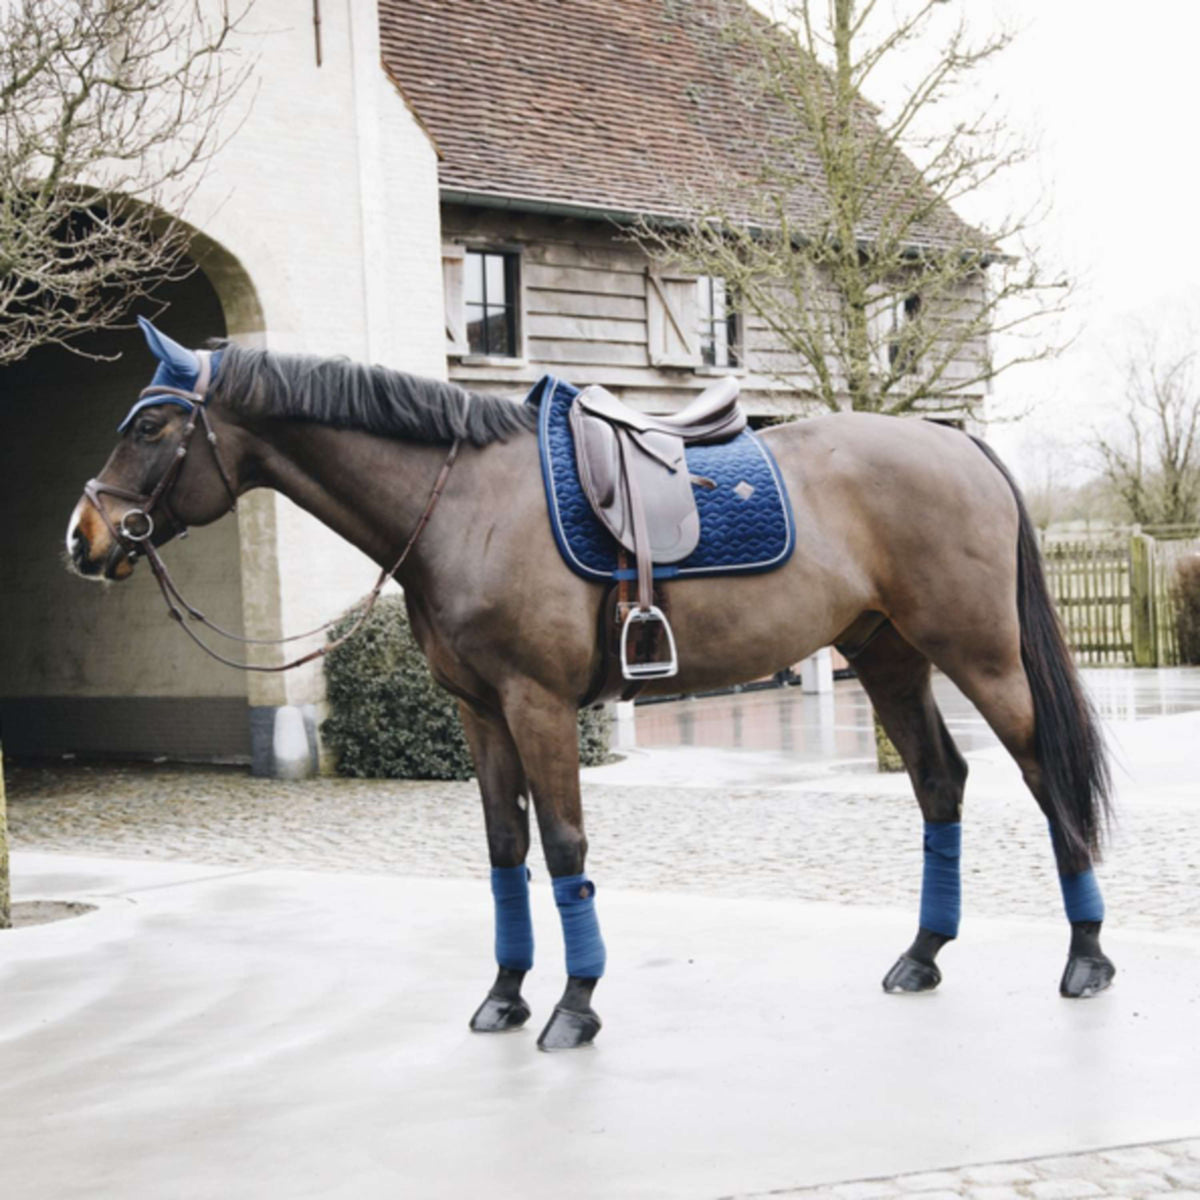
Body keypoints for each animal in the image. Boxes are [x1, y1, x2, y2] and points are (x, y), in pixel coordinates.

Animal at [65, 316, 1113, 1051]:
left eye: (152, 425)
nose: (83, 539)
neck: (465, 506)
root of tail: (956, 444)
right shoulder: (479, 712)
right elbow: (504, 851)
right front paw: (504, 995)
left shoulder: (538, 705)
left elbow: (565, 846)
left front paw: (574, 1005)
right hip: (890, 658)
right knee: (941, 782)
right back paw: (923, 956)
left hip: (983, 657)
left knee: (1043, 777)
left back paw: (1087, 957)